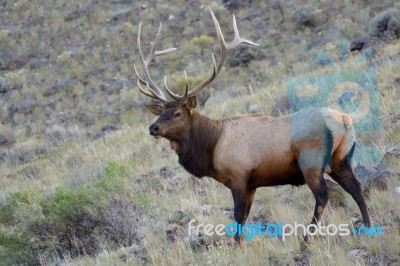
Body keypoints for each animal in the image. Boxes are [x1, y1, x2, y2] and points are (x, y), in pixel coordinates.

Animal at [134, 8, 372, 242]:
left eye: (177, 113)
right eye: (161, 112)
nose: (153, 128)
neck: (211, 147)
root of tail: (345, 120)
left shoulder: (239, 176)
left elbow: (239, 216)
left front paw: (237, 245)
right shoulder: (252, 184)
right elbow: (246, 215)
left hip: (310, 161)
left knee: (324, 194)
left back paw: (307, 238)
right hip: (341, 159)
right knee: (356, 188)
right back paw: (368, 227)